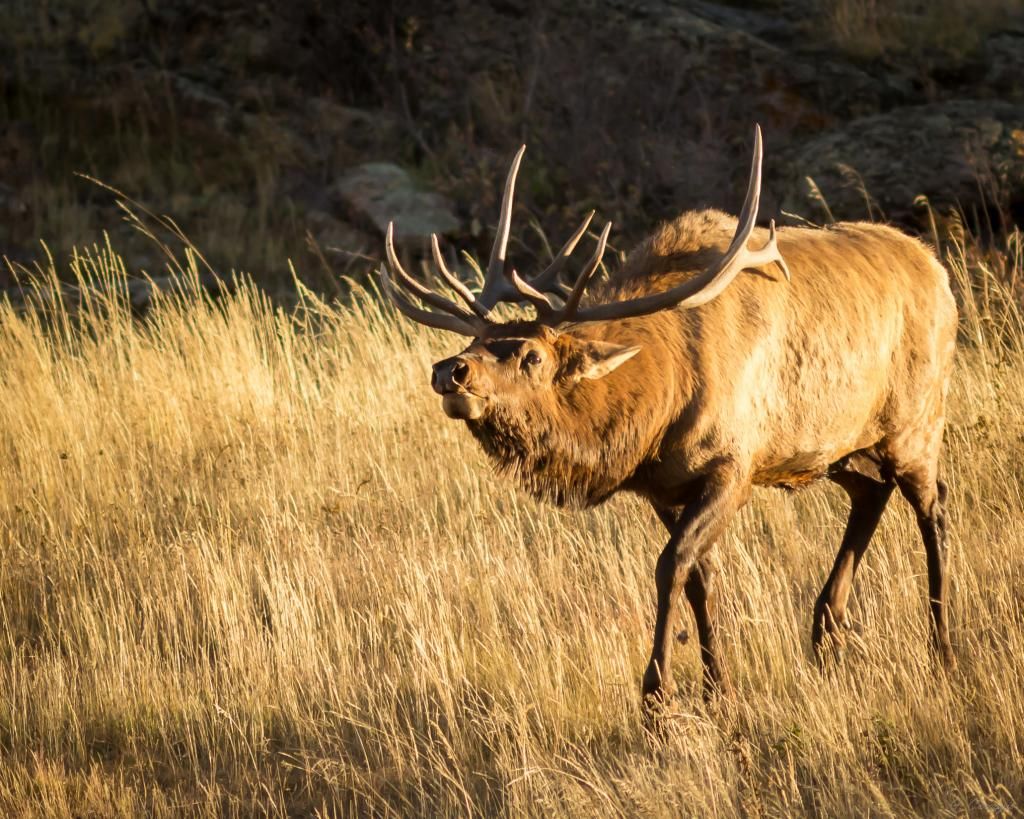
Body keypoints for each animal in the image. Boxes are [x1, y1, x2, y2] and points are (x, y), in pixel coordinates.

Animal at [378, 126, 958, 704]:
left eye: (533, 356)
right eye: (478, 341)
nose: (451, 370)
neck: (661, 401)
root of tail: (938, 272)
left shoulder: (733, 465)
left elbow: (671, 564)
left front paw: (657, 694)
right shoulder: (664, 486)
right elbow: (699, 575)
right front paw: (717, 686)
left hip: (918, 421)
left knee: (934, 510)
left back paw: (942, 649)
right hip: (841, 448)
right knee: (871, 493)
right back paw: (825, 632)